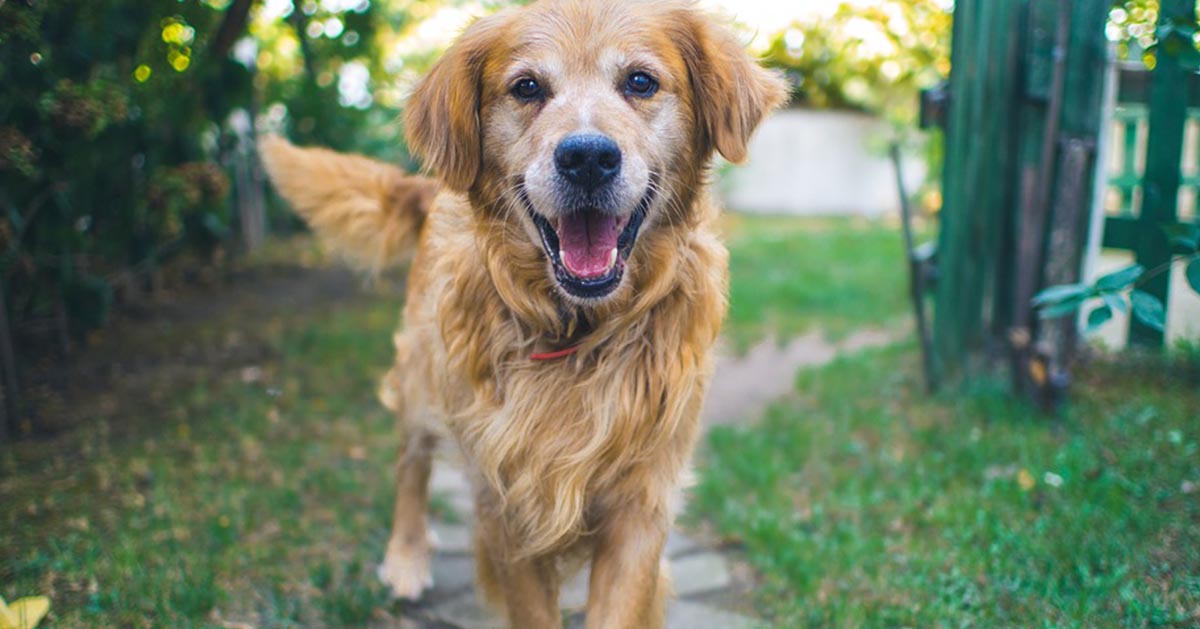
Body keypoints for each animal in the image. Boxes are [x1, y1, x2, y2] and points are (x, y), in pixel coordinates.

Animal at [264, 2, 787, 624]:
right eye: (527, 87)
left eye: (640, 82)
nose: (587, 158)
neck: (580, 331)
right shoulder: (507, 499)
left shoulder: (641, 501)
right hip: (422, 374)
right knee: (410, 460)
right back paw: (407, 555)